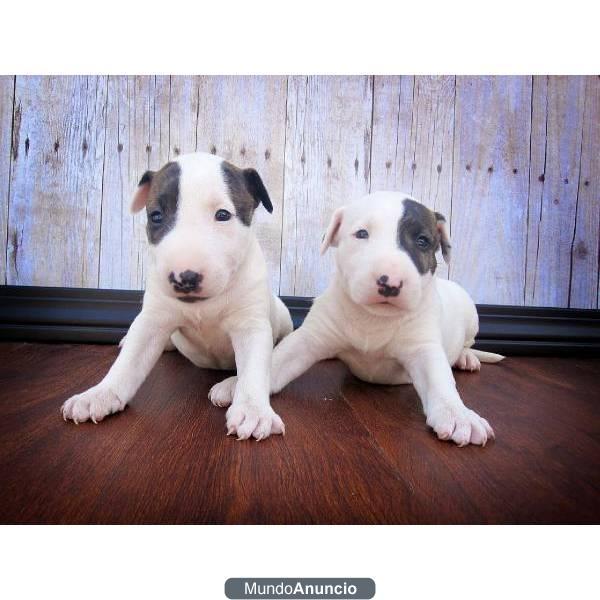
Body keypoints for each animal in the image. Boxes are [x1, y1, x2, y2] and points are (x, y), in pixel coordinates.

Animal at [61, 151, 292, 440]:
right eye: (156, 216)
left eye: (223, 214)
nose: (184, 277)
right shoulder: (152, 321)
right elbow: (128, 363)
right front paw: (99, 394)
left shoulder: (250, 326)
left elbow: (254, 370)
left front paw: (253, 412)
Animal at [211, 191, 502, 446]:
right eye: (362, 234)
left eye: (422, 241)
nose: (390, 282)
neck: (373, 319)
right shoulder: (309, 338)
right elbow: (277, 359)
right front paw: (237, 387)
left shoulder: (424, 348)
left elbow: (441, 381)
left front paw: (460, 416)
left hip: (471, 314)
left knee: (467, 344)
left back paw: (466, 358)